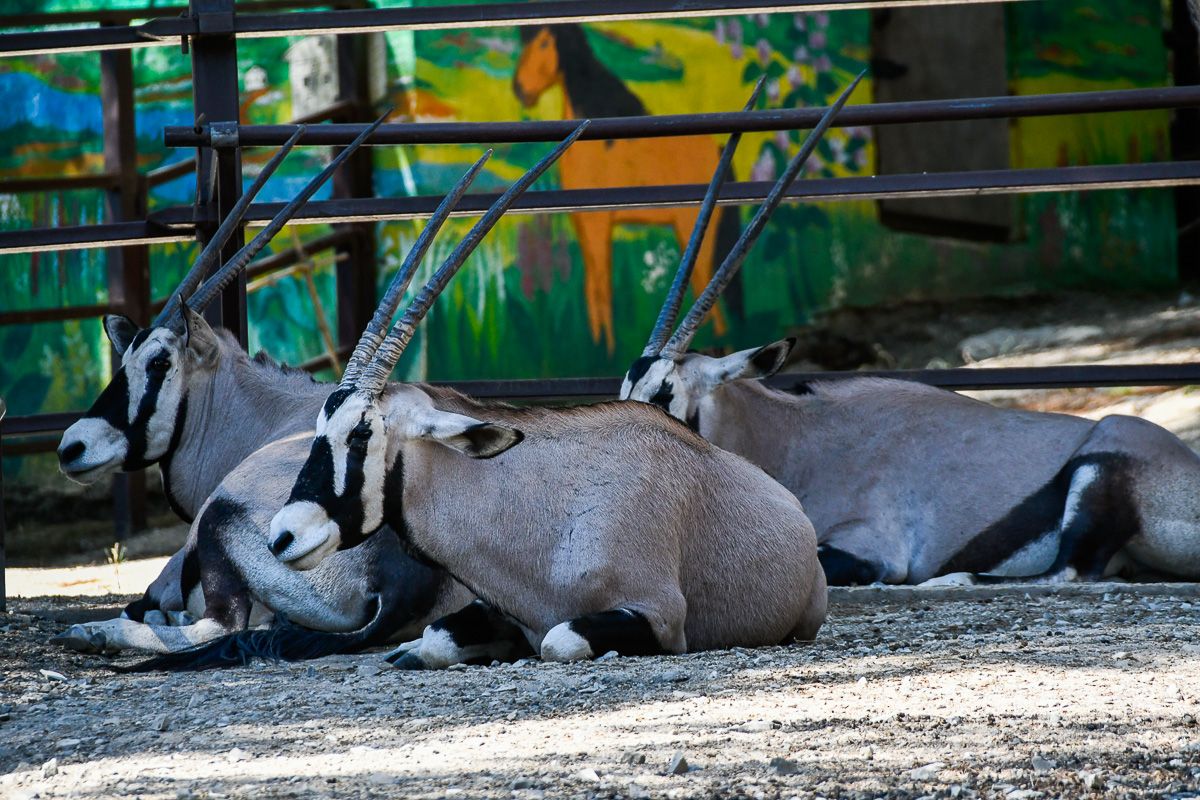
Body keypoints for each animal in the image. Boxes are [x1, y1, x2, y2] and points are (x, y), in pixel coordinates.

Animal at [54, 113, 482, 662]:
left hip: (219, 524)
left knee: (217, 624)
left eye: (158, 362)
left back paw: (94, 632)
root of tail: (400, 580)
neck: (266, 416)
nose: (72, 447)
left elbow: (150, 603)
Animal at [265, 84, 844, 671]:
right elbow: (436, 638)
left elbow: (557, 639)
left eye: (362, 432)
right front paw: (411, 649)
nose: (283, 536)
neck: (545, 508)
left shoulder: (659, 618)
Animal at [516, 23, 739, 352]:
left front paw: (608, 350)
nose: (519, 89)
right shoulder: (583, 226)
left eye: (544, 43)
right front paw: (600, 349)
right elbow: (592, 291)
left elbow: (603, 290)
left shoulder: (598, 223)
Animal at [624, 84, 1200, 585]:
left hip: (1098, 467)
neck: (792, 438)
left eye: (665, 394)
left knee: (1069, 572)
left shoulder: (870, 548)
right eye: (626, 389)